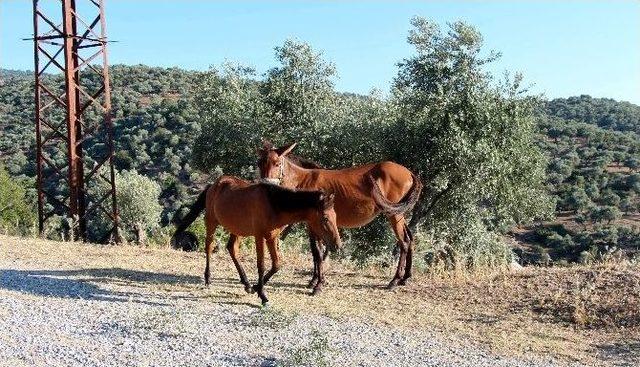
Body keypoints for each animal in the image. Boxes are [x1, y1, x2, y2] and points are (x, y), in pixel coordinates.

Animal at [170, 177, 340, 306]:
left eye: (335, 216)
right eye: (325, 218)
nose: (337, 244)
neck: (273, 204)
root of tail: (213, 185)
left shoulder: (271, 237)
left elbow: (276, 265)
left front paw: (255, 287)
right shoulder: (259, 237)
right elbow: (261, 265)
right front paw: (263, 295)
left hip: (236, 229)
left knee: (232, 249)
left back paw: (246, 283)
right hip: (211, 222)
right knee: (209, 247)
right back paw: (208, 278)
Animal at [258, 142, 422, 292]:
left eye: (277, 163)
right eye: (259, 163)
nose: (266, 185)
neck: (303, 180)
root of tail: (410, 173)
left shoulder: (315, 223)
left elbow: (318, 252)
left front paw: (318, 283)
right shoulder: (313, 225)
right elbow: (316, 252)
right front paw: (315, 280)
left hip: (394, 215)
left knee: (404, 242)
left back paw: (394, 281)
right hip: (399, 214)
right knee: (410, 238)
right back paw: (405, 278)